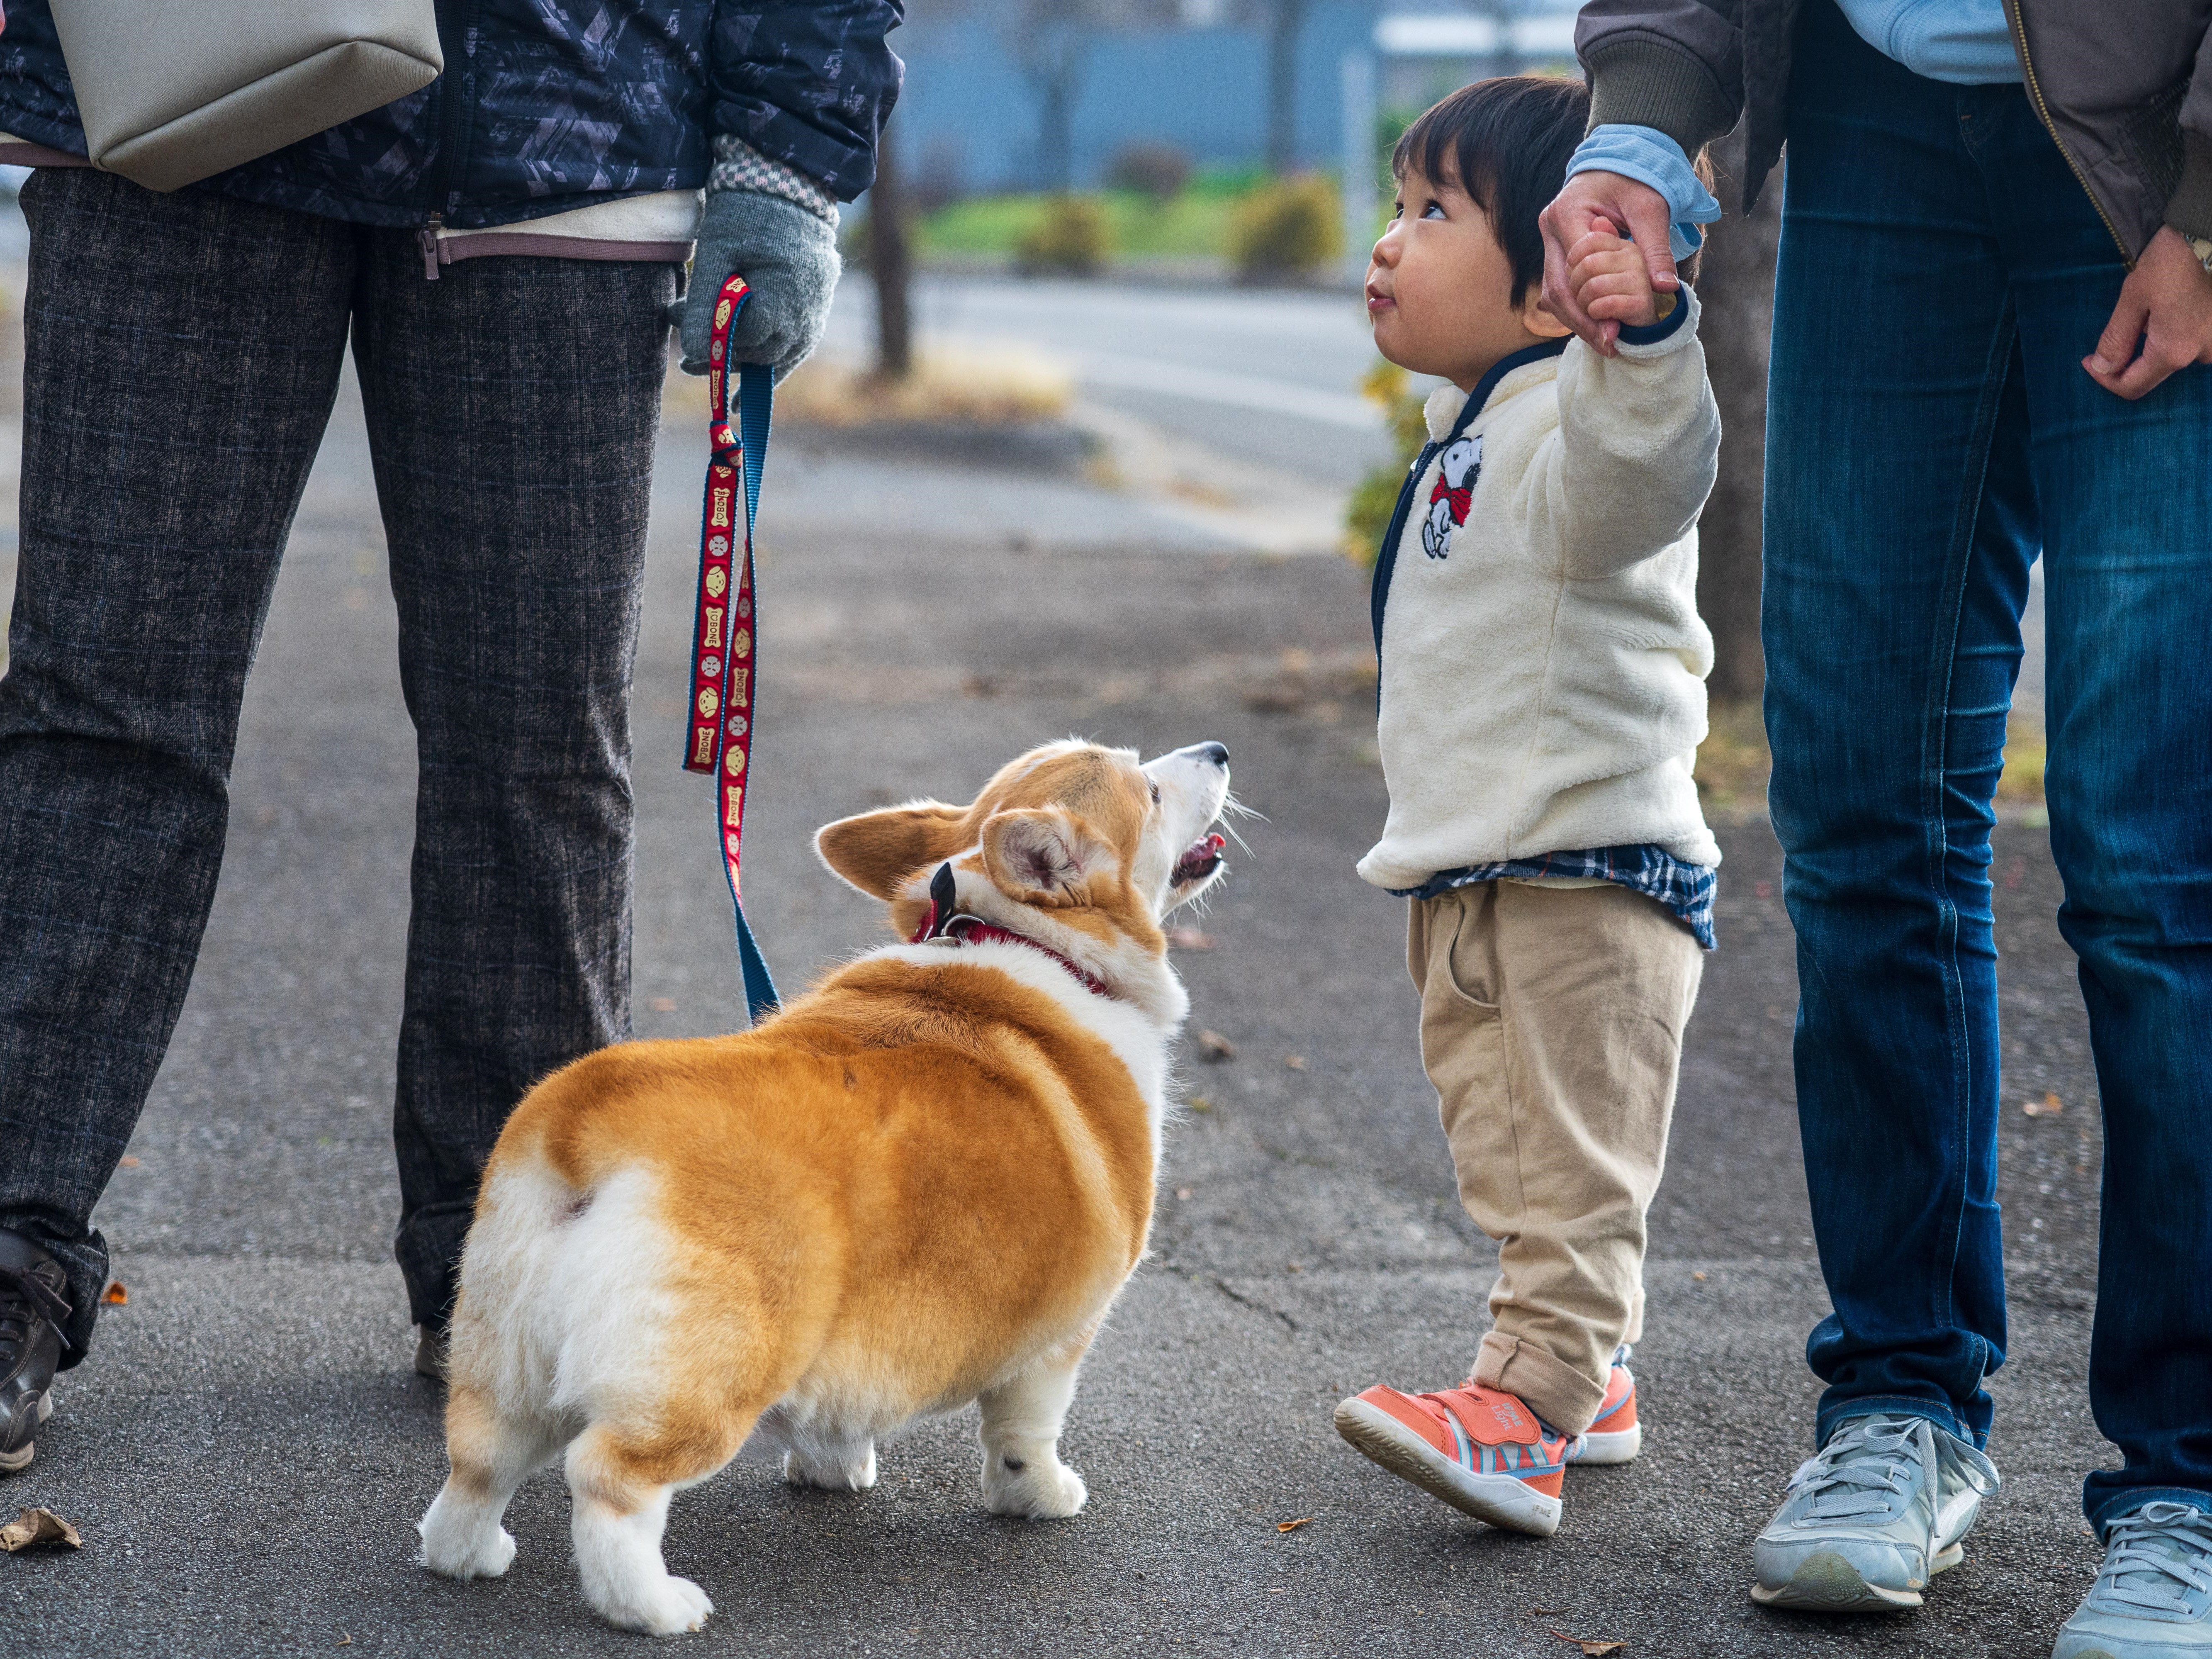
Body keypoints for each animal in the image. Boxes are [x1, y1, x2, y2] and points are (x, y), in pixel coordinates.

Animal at [418, 738, 1230, 1637]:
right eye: (1149, 789)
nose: (1219, 750)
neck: (1031, 936)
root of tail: (585, 1116)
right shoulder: (1061, 1333)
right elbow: (1028, 1427)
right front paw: (1040, 1496)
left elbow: (838, 1415)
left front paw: (833, 1468)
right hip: (711, 1365)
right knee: (609, 1478)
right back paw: (656, 1605)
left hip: (499, 1347)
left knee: (477, 1460)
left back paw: (469, 1555)